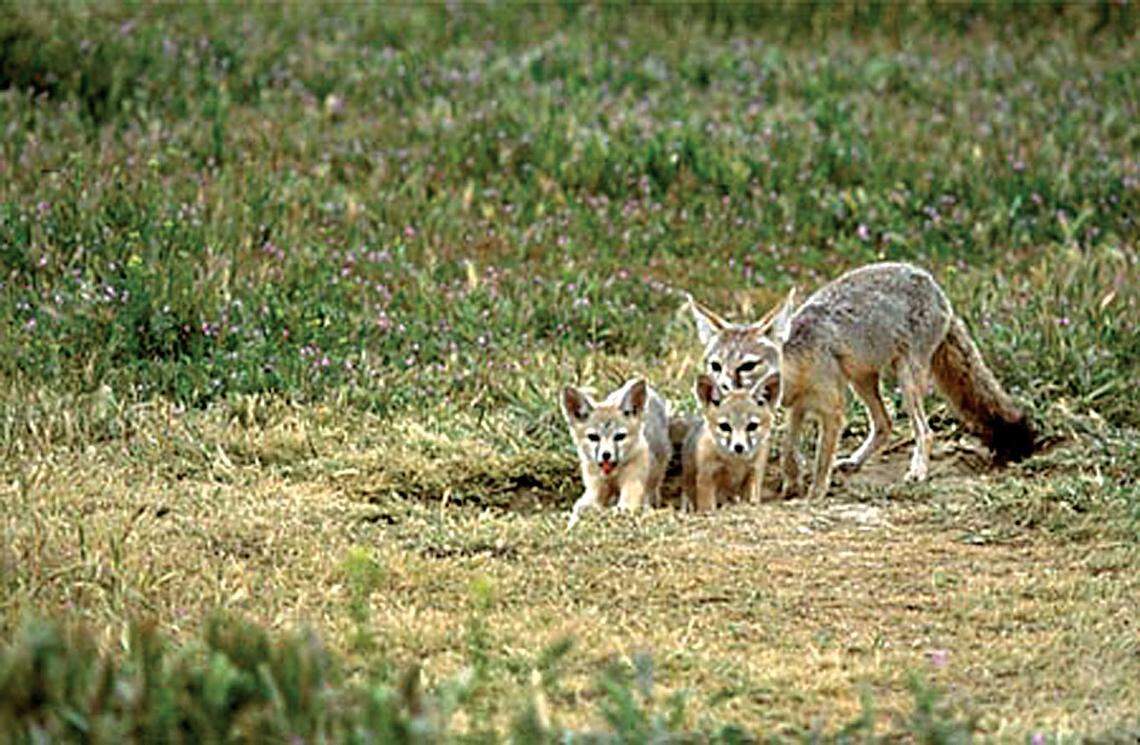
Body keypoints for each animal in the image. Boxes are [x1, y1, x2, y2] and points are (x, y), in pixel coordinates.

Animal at [561, 378, 671, 529]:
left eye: (620, 436)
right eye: (593, 437)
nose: (606, 455)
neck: (612, 476)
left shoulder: (633, 484)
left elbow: (626, 505)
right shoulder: (594, 489)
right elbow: (581, 506)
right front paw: (574, 522)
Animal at [682, 373, 779, 511]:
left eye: (752, 426)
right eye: (725, 426)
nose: (739, 447)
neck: (735, 464)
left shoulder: (755, 473)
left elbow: (753, 500)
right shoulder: (707, 476)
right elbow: (707, 506)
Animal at [688, 262, 1036, 500]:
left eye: (747, 366)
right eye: (716, 365)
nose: (723, 388)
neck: (798, 366)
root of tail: (933, 284)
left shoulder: (832, 409)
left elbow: (821, 458)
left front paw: (815, 493)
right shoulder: (797, 407)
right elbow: (788, 447)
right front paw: (791, 482)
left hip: (906, 380)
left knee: (924, 431)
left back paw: (917, 471)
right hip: (862, 380)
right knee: (885, 423)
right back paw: (855, 461)